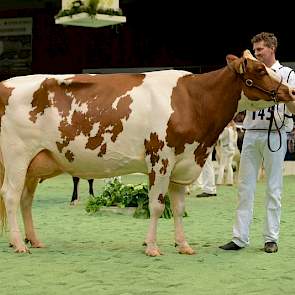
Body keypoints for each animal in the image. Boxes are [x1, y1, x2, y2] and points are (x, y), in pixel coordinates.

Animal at [0, 49, 295, 256]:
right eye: (260, 69)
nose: (290, 91)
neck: (193, 100)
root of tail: (7, 83)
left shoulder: (183, 162)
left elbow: (178, 208)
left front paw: (183, 245)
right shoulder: (160, 160)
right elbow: (156, 205)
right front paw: (152, 247)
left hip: (34, 164)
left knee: (25, 200)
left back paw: (34, 240)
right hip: (16, 156)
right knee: (11, 196)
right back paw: (18, 244)